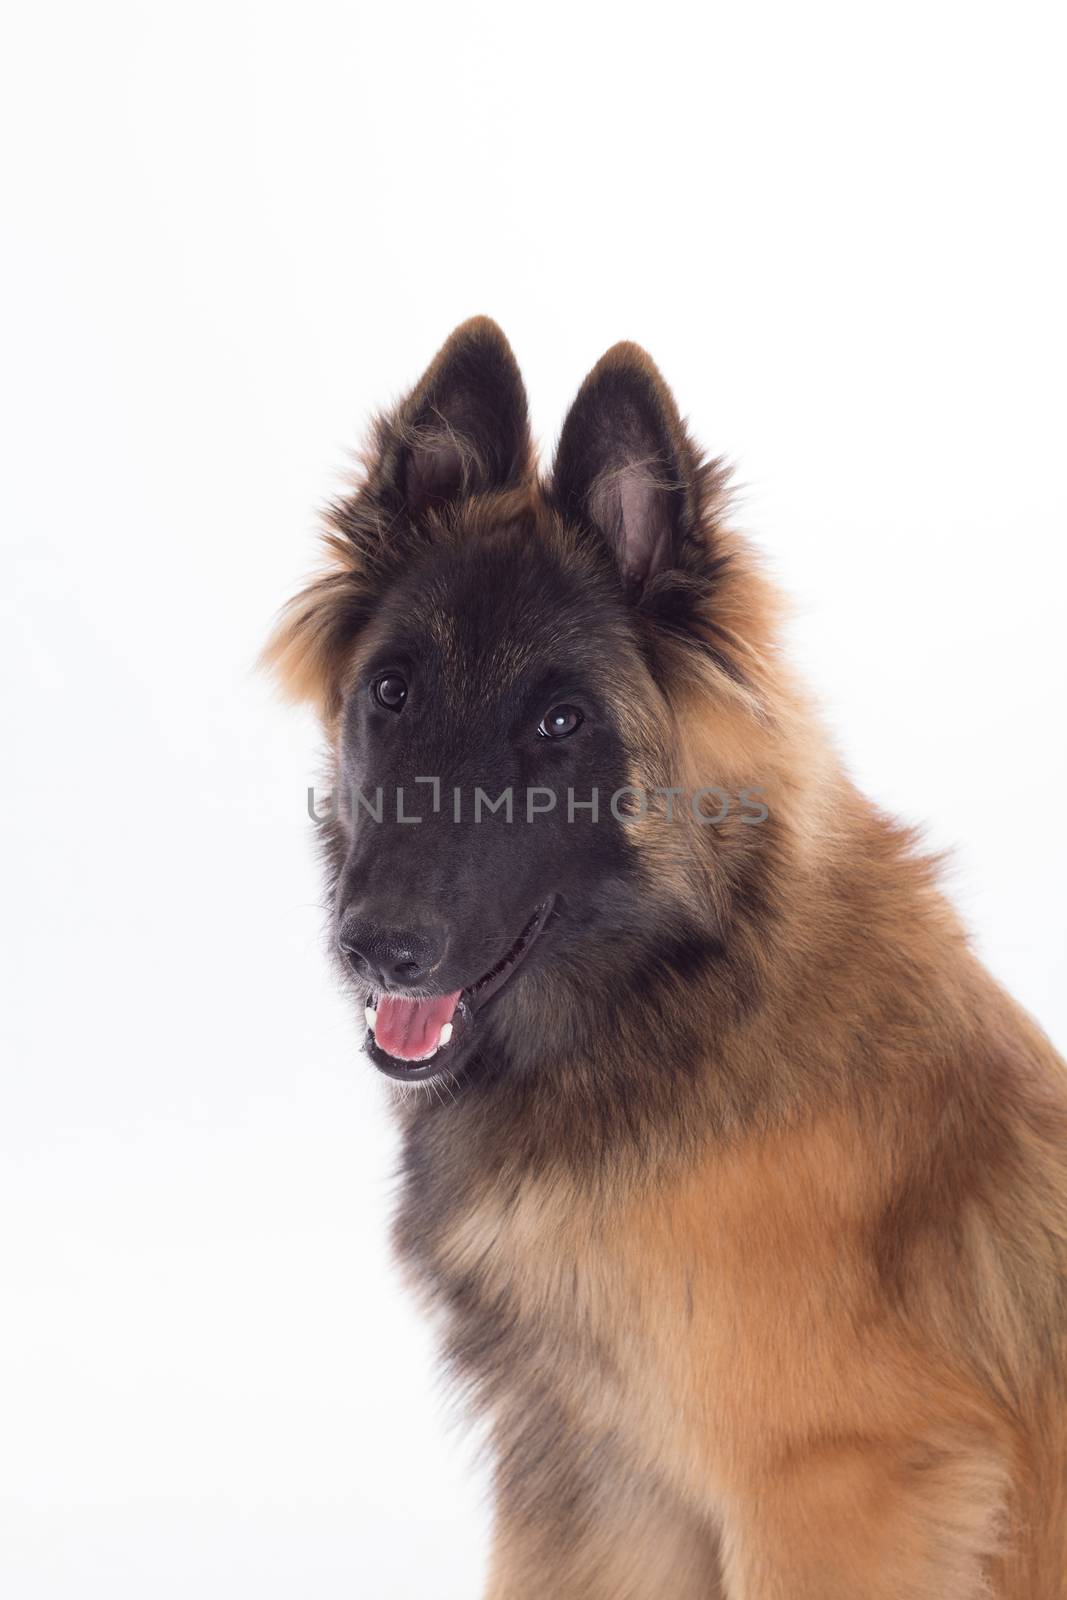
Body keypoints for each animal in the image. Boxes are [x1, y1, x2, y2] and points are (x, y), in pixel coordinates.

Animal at [265, 318, 1067, 1593]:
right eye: (390, 690)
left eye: (559, 723)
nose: (376, 948)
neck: (679, 991)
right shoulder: (599, 1476)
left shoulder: (832, 1488)